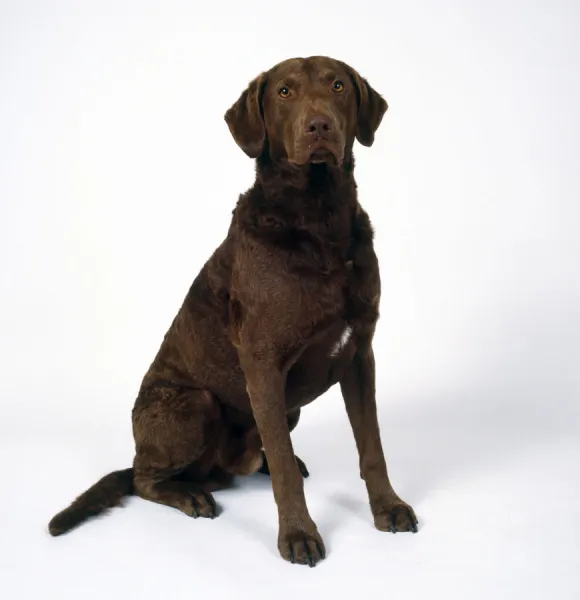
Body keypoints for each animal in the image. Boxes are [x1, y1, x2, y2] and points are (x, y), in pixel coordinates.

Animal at [46, 56, 416, 568]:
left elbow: (371, 446)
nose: (319, 125)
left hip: (284, 409)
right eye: (284, 92)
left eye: (339, 86)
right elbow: (283, 467)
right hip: (194, 405)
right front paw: (298, 535)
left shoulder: (360, 352)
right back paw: (190, 495)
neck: (319, 218)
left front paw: (389, 508)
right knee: (144, 478)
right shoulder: (263, 363)